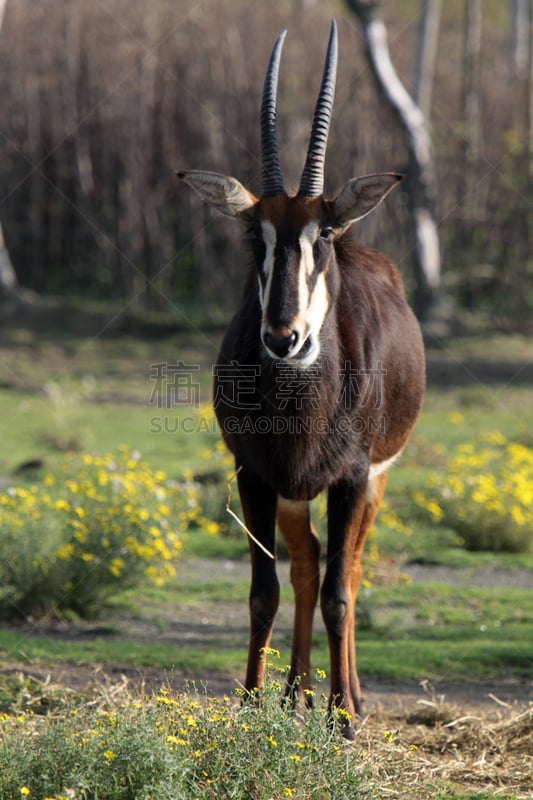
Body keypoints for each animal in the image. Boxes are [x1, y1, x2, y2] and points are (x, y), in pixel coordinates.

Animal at [178, 20, 424, 744]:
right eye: (252, 236)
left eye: (325, 233)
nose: (283, 337)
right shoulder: (255, 475)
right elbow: (265, 588)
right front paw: (251, 702)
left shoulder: (350, 478)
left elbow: (342, 590)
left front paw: (344, 717)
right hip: (293, 494)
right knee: (310, 562)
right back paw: (295, 694)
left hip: (375, 480)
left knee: (349, 567)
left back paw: (349, 698)